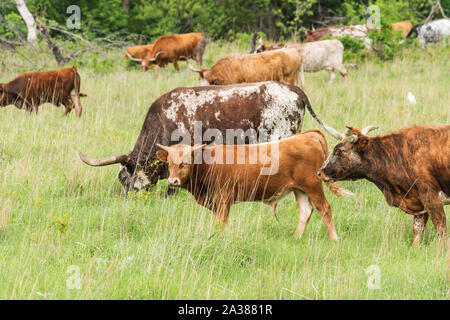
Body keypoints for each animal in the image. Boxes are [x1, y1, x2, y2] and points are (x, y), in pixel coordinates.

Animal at [156, 131, 354, 240]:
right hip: (300, 189)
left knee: (325, 209)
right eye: (170, 164)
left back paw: (334, 239)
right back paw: (296, 238)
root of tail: (306, 135)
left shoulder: (223, 199)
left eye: (186, 162)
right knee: (306, 211)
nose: (172, 181)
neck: (208, 163)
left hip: (313, 186)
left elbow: (220, 224)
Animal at [318, 124, 448, 246]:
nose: (320, 172)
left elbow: (441, 230)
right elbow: (418, 231)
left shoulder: (431, 198)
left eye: (339, 151)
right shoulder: (419, 202)